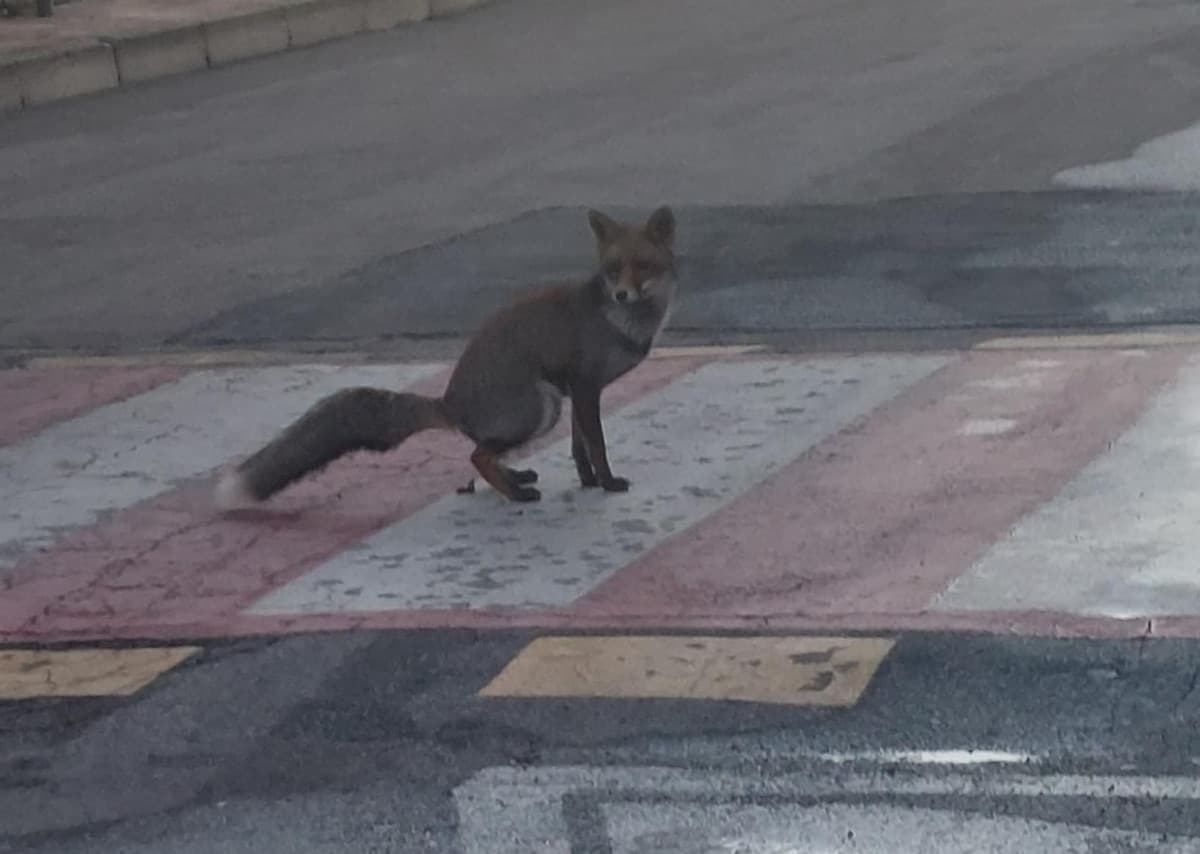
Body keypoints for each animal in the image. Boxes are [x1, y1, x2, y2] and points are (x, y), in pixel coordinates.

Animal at [216, 203, 681, 506]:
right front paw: (607, 483)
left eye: (642, 265)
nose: (622, 294)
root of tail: (449, 401)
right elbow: (596, 444)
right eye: (613, 269)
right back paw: (515, 493)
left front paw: (586, 482)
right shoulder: (582, 387)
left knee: (483, 450)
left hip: (543, 406)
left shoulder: (578, 391)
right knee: (476, 454)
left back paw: (514, 477)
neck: (619, 322)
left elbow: (579, 447)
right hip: (539, 407)